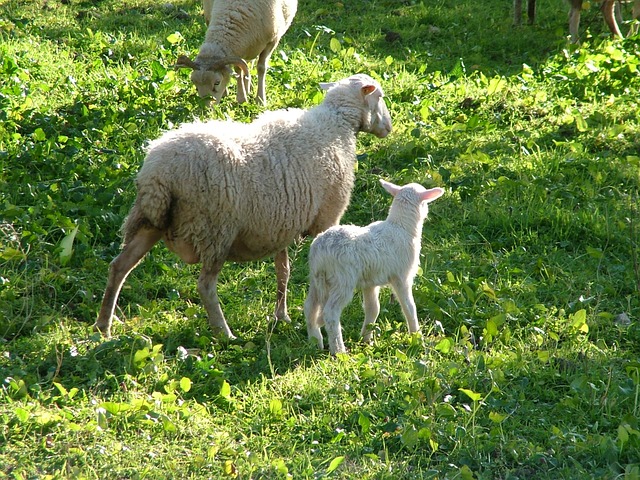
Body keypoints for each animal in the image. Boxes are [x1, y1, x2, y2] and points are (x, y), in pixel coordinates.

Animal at [94, 74, 396, 338]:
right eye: (380, 96)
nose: (389, 128)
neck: (336, 123)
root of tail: (159, 173)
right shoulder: (327, 219)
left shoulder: (282, 222)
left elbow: (283, 271)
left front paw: (281, 316)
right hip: (215, 229)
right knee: (205, 286)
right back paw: (224, 333)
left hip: (148, 221)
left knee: (119, 266)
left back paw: (103, 325)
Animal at [304, 178, 444, 354]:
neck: (401, 226)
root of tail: (321, 250)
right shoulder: (401, 277)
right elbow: (409, 307)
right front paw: (417, 337)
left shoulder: (370, 282)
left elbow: (373, 309)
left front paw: (366, 339)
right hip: (342, 280)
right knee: (330, 313)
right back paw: (339, 350)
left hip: (316, 279)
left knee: (309, 308)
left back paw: (314, 342)